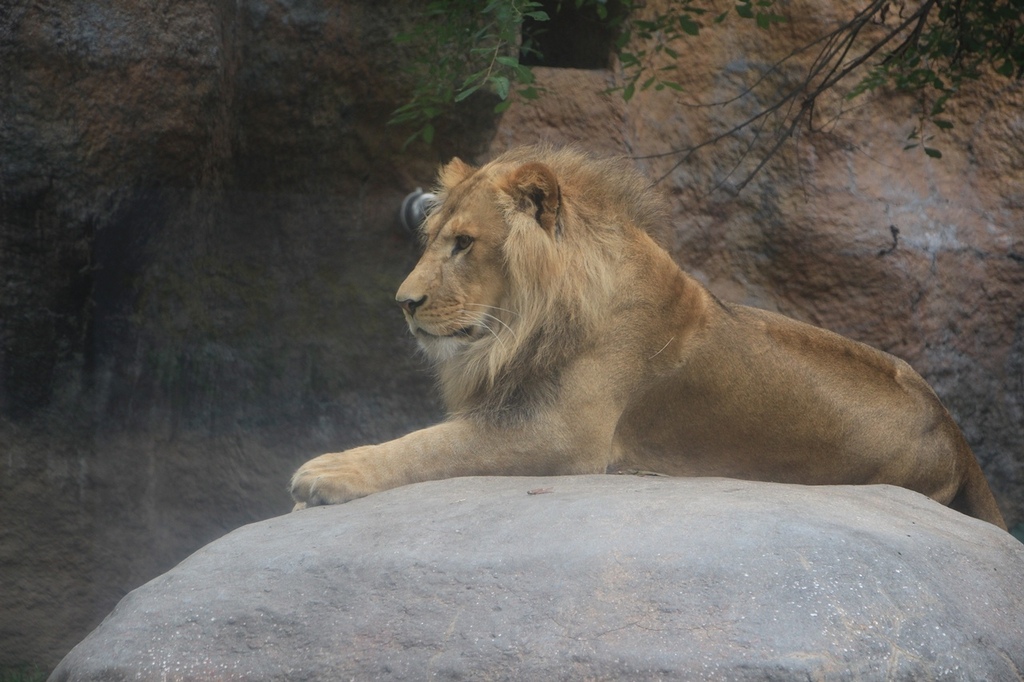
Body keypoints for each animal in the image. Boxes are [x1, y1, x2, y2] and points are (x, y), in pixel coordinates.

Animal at [290, 142, 1007, 524]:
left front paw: (325, 472)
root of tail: (955, 430)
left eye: (464, 243)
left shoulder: (560, 434)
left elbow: (430, 444)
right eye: (433, 238)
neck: (522, 326)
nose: (404, 304)